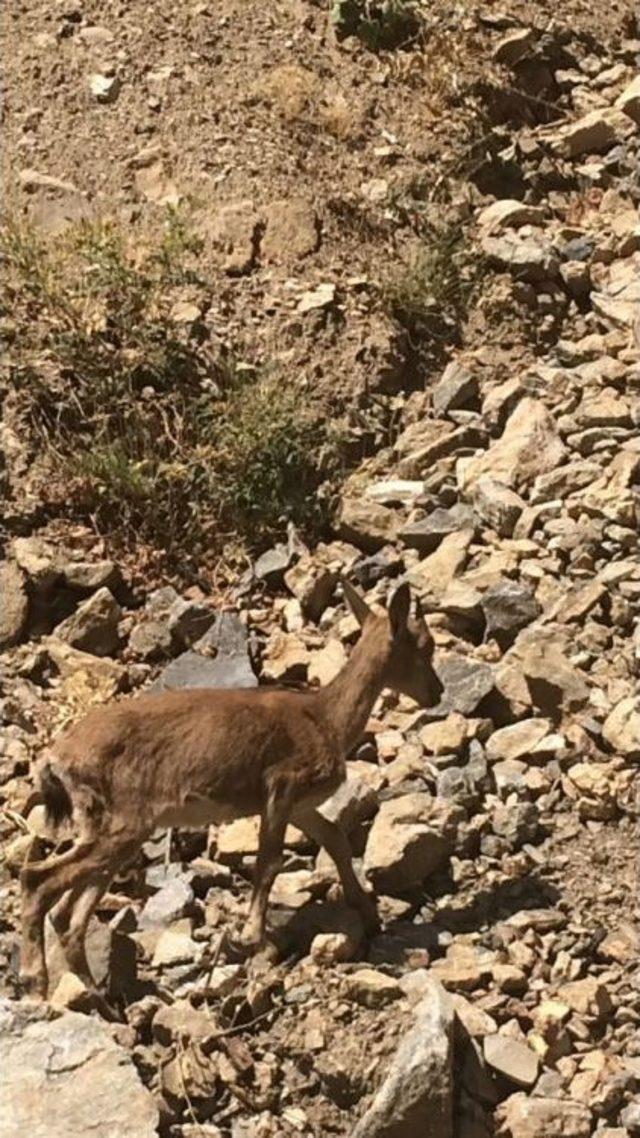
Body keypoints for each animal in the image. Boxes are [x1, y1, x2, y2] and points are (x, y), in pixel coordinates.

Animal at [18, 578, 437, 996]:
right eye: (425, 644)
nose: (438, 693)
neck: (327, 720)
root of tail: (56, 758)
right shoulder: (282, 786)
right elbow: (269, 861)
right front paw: (253, 937)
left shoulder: (301, 805)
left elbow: (334, 838)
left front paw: (369, 913)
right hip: (126, 820)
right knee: (38, 880)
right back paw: (36, 980)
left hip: (105, 824)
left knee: (69, 915)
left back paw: (93, 994)